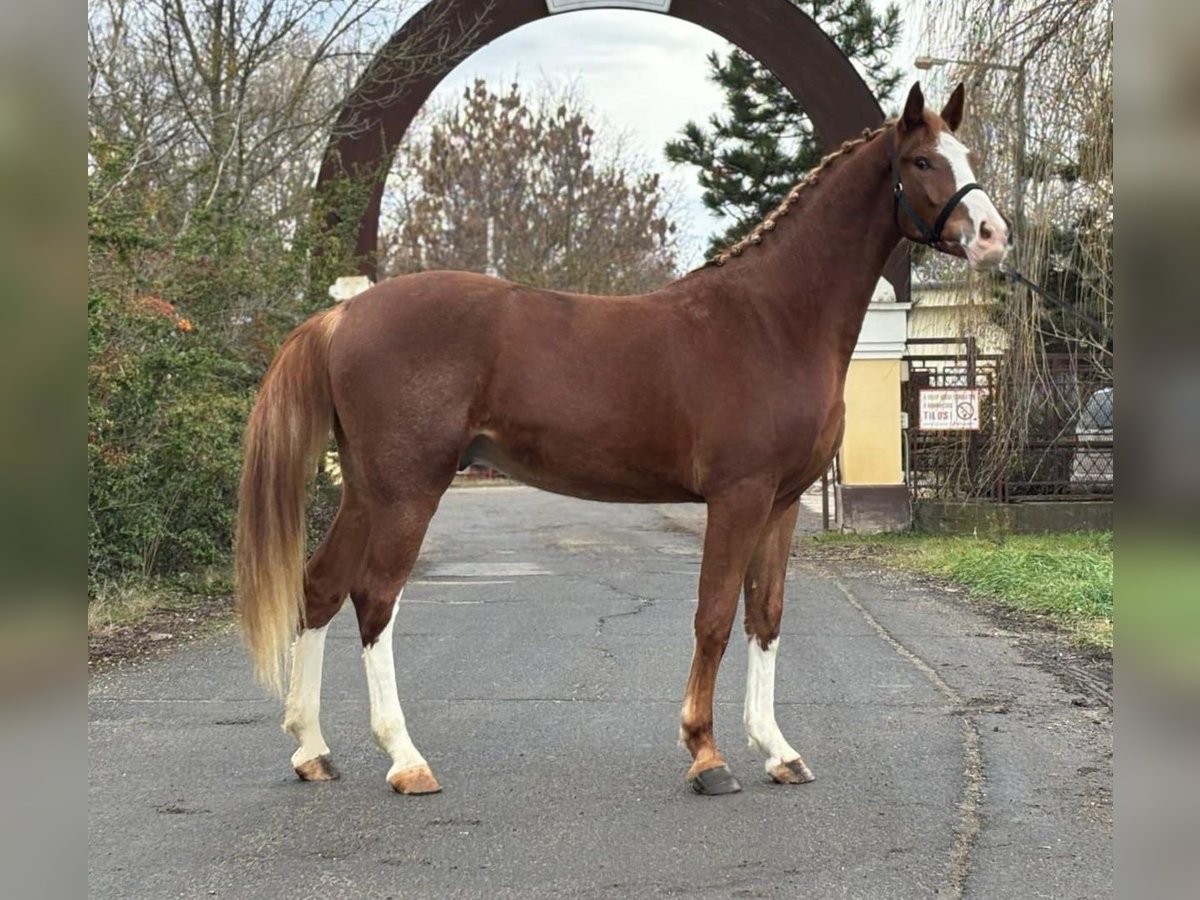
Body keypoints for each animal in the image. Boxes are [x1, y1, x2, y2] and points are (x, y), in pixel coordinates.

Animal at [236, 84, 1012, 801]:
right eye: (921, 160)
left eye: (966, 154)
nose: (993, 235)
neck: (773, 320)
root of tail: (341, 316)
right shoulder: (738, 497)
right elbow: (713, 617)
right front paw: (707, 755)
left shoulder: (784, 502)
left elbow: (765, 616)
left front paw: (778, 751)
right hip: (408, 490)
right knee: (374, 598)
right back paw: (405, 761)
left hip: (367, 490)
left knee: (319, 587)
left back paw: (313, 750)